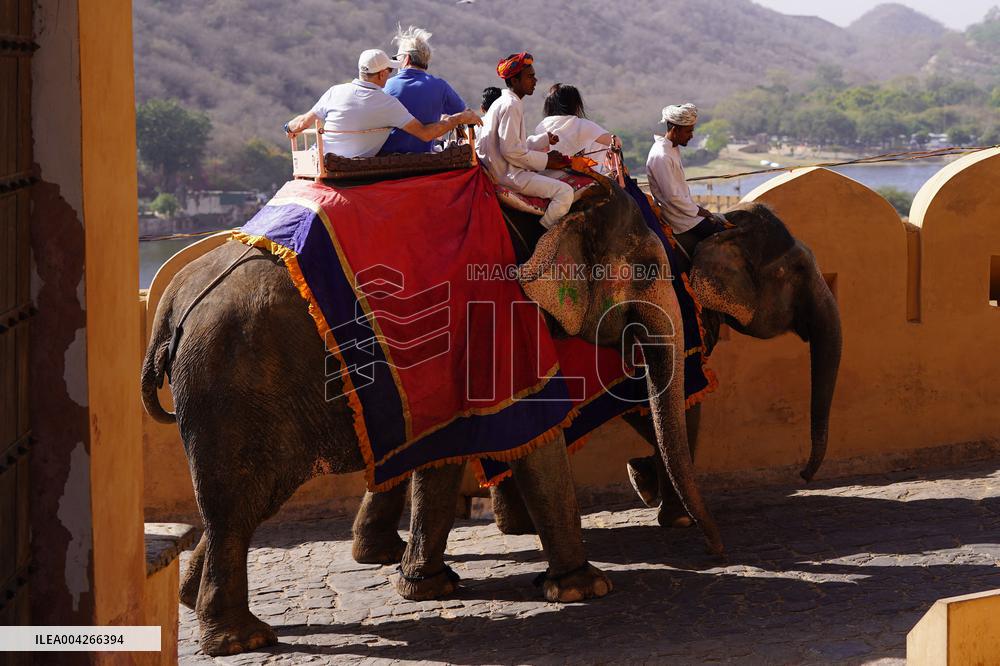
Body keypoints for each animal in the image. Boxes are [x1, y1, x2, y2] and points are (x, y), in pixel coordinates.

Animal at [140, 176, 721, 656]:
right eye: (646, 269)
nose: (714, 548)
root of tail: (170, 305)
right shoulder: (503, 318)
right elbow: (533, 435)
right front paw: (587, 588)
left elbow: (445, 450)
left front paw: (426, 585)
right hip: (233, 384)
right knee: (239, 507)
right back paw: (242, 640)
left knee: (238, 507)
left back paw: (196, 604)